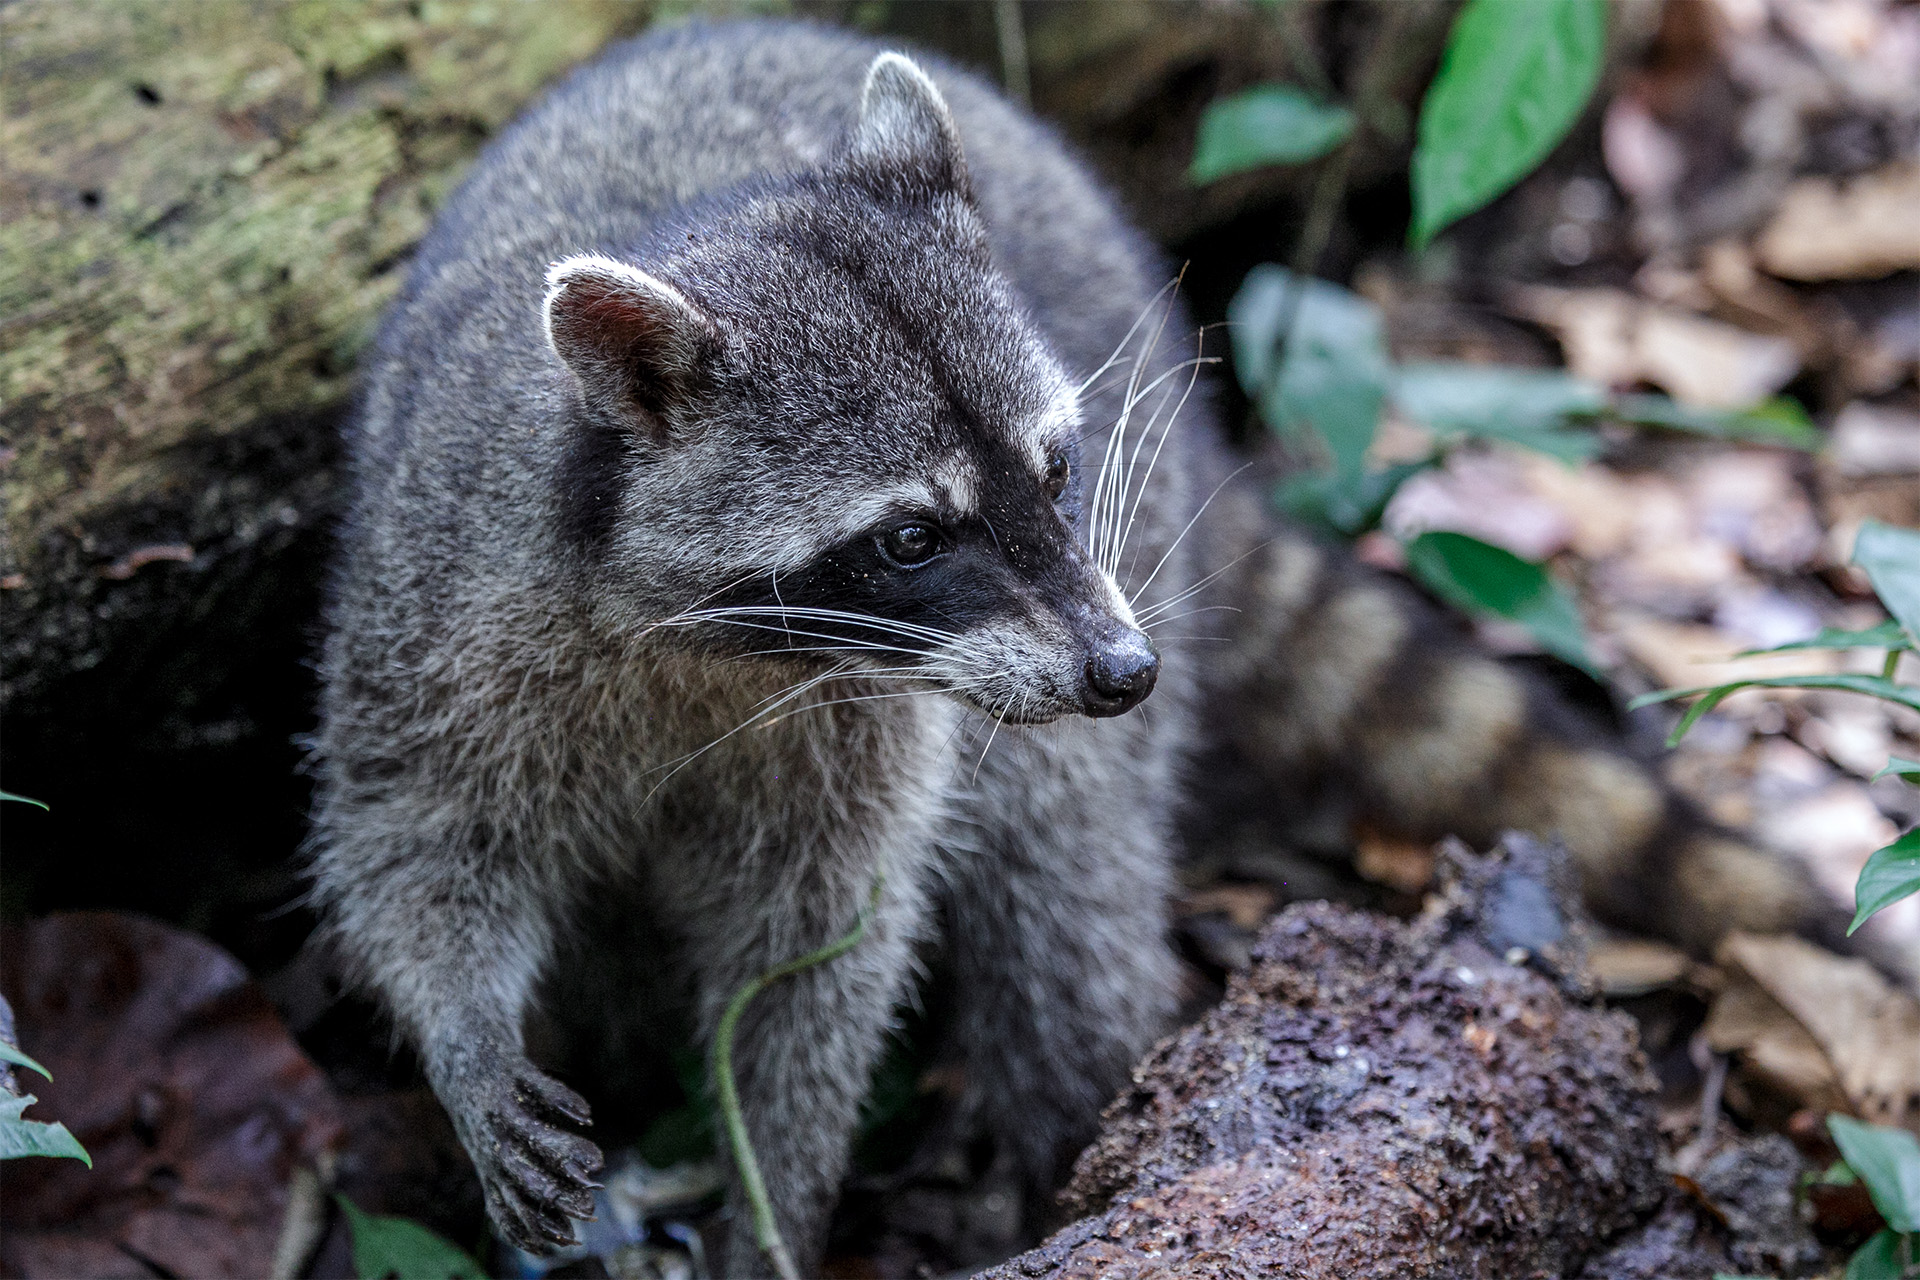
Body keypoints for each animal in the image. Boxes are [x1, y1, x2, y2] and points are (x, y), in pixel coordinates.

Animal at [318, 14, 1843, 1274]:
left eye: (1056, 469)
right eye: (911, 537)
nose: (1126, 674)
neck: (724, 652)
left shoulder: (878, 723)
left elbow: (820, 951)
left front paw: (774, 1196)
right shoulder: (443, 608)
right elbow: (412, 836)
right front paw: (465, 1037)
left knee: (1064, 887)